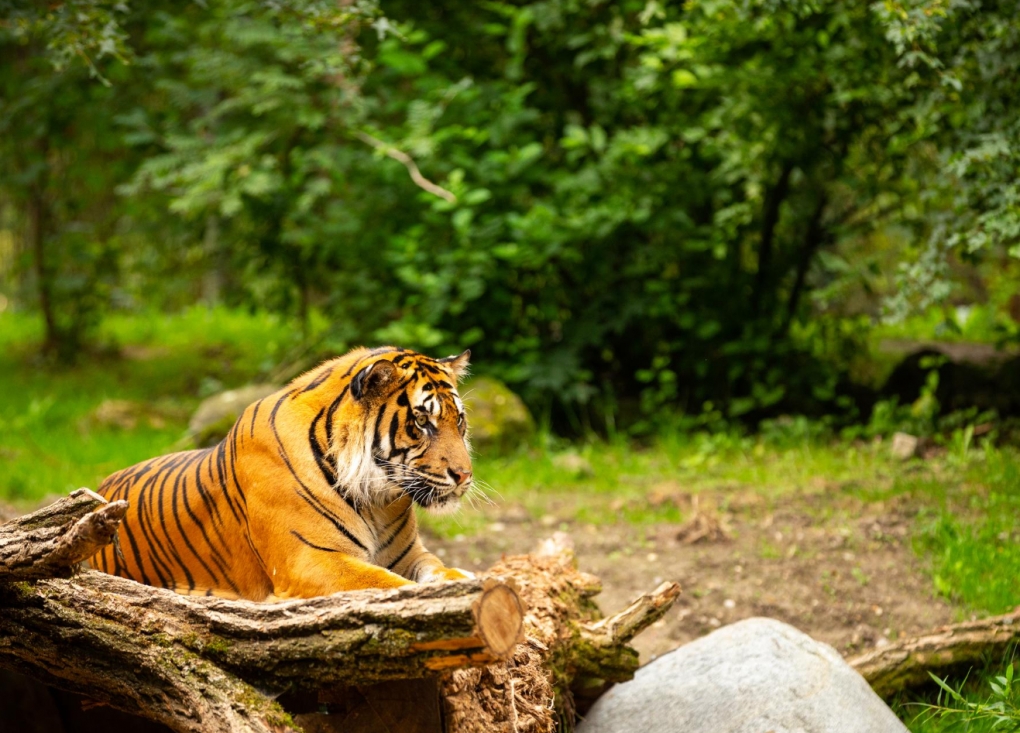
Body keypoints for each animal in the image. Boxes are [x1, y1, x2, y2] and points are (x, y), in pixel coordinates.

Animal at [88, 346, 477, 599]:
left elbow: (440, 569)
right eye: (422, 422)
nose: (464, 475)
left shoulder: (408, 555)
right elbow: (388, 585)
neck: (377, 499)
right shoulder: (311, 561)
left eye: (458, 420)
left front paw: (463, 577)